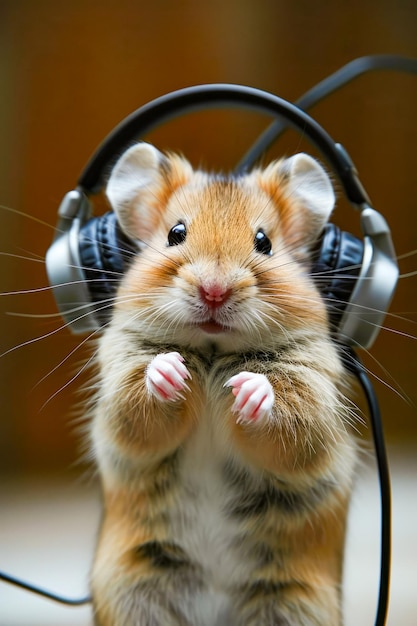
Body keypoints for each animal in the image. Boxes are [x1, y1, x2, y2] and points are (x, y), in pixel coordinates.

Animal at [89, 143, 356, 624]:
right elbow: (140, 413)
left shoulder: (313, 403)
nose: (214, 291)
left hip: (294, 603)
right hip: (133, 591)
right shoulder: (120, 389)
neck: (213, 353)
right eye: (175, 233)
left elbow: (290, 425)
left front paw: (250, 390)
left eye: (264, 242)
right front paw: (169, 371)